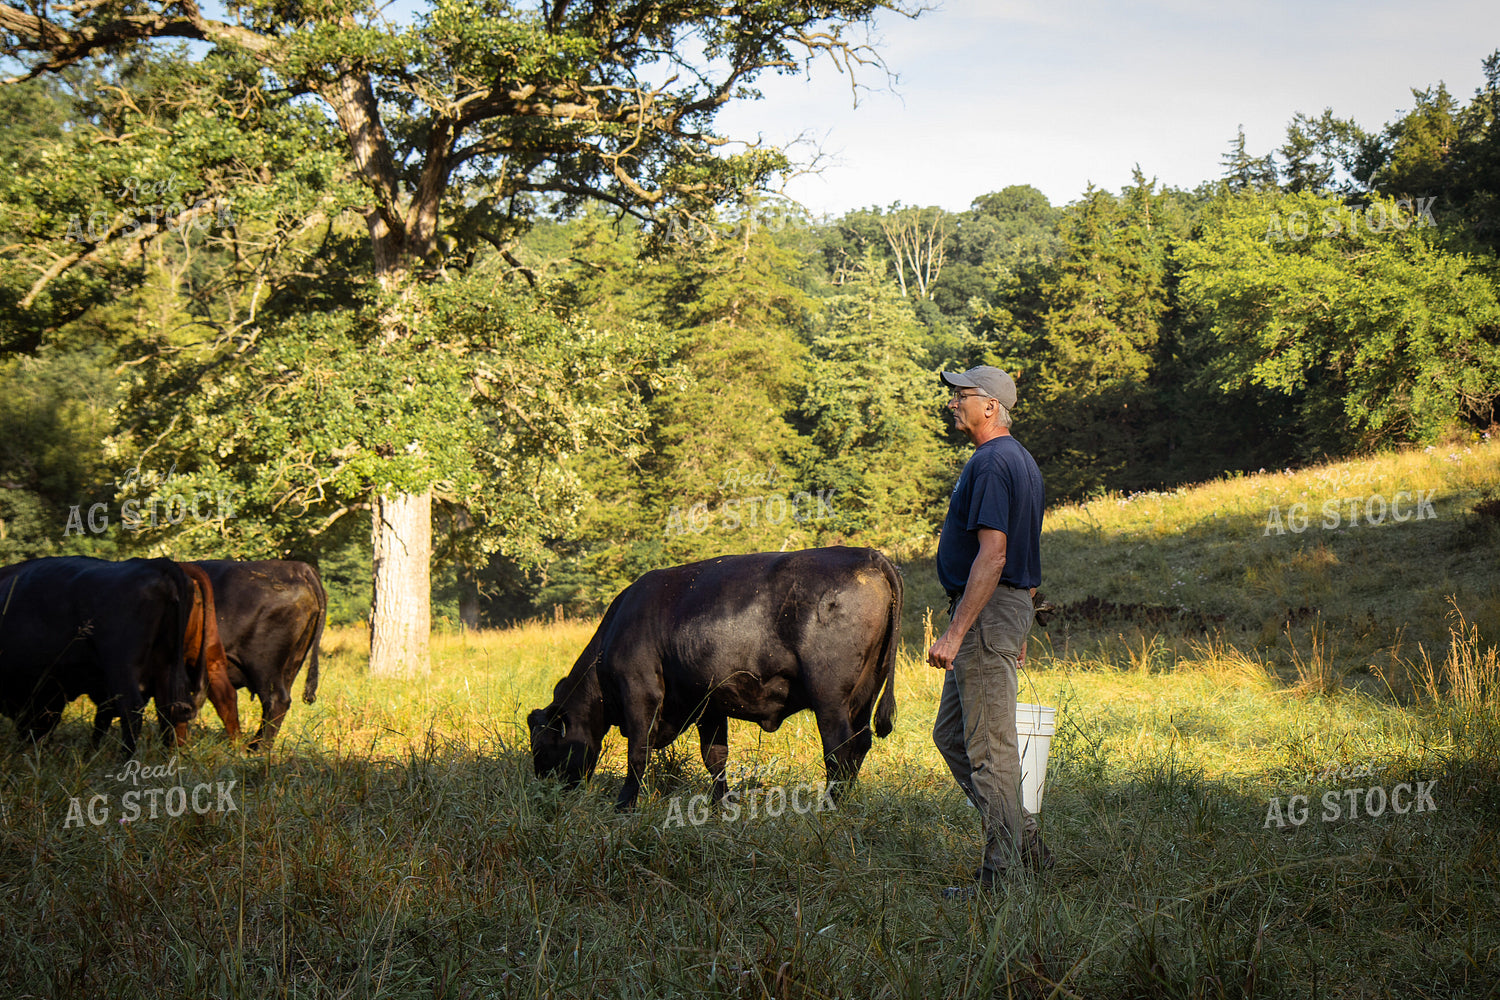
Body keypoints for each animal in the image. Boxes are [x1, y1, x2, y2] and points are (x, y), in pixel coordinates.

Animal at [0, 556, 198, 755]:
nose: (34, 741)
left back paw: (124, 759)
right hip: (165, 666)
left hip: (122, 668)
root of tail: (156, 564)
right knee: (167, 710)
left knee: (132, 711)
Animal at [528, 546, 903, 810]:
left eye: (544, 747)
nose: (545, 789)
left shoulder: (640, 691)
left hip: (830, 698)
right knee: (859, 744)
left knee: (839, 749)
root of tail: (867, 555)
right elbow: (715, 757)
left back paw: (829, 806)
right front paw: (720, 804)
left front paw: (624, 805)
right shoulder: (708, 704)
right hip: (865, 693)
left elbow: (637, 753)